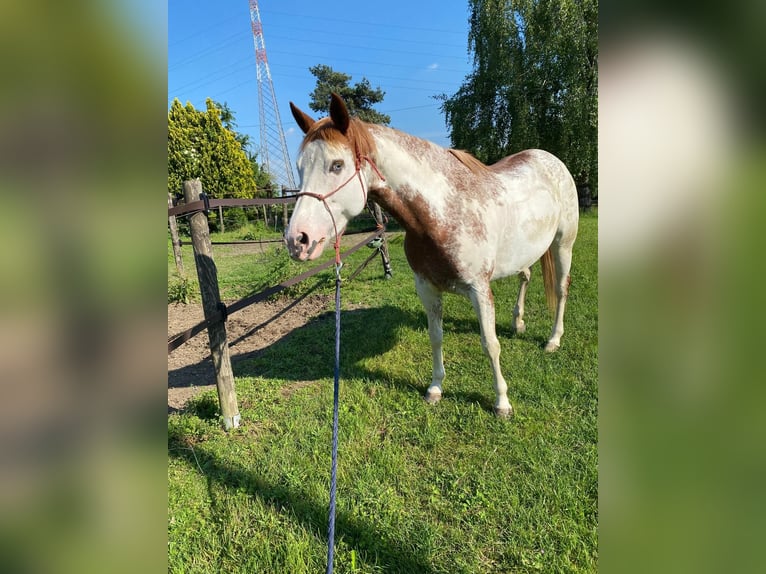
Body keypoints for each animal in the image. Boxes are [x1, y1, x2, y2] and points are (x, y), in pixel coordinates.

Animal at [284, 94, 580, 418]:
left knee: (561, 289)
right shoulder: (426, 287)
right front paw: (436, 387)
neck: (442, 211)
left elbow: (490, 344)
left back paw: (553, 340)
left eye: (337, 165)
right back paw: (518, 324)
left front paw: (502, 402)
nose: (298, 240)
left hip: (563, 244)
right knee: (525, 276)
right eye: (299, 167)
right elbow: (436, 336)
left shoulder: (479, 289)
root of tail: (550, 159)